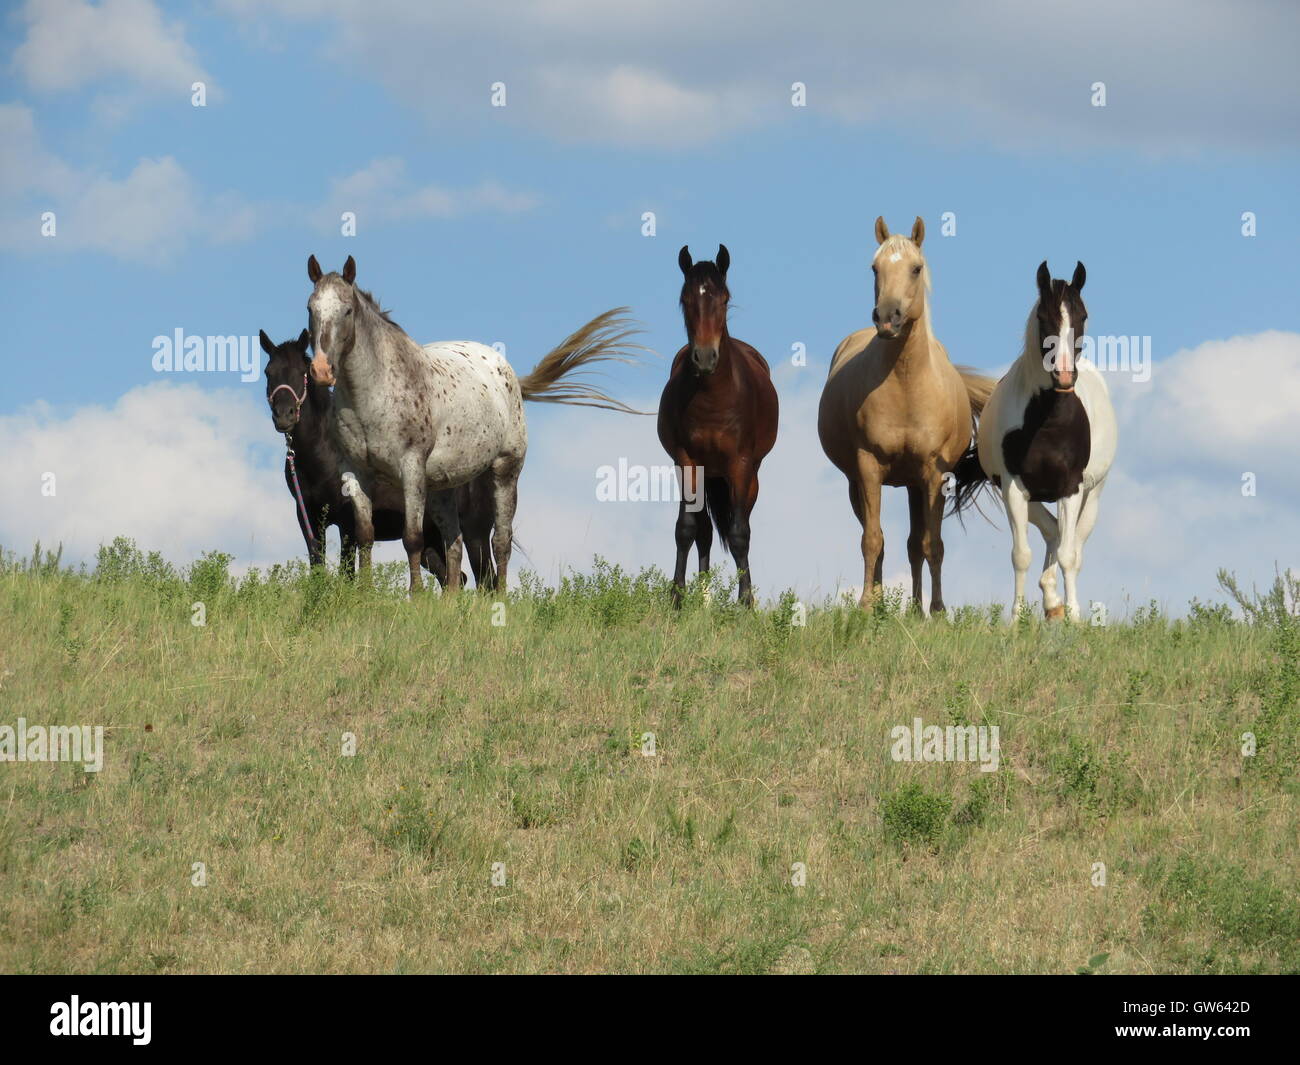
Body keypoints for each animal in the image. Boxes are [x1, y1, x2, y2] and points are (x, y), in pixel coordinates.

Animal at [260, 329, 497, 587]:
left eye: (303, 371)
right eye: (269, 372)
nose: (284, 416)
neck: (324, 455)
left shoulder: (347, 519)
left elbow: (347, 572)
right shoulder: (309, 518)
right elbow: (317, 564)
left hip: (475, 534)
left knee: (487, 580)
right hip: (433, 541)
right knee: (454, 578)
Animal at [305, 255, 645, 594]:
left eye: (347, 310)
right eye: (311, 308)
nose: (321, 370)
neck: (373, 393)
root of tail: (507, 372)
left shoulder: (410, 469)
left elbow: (412, 538)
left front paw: (416, 596)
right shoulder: (356, 472)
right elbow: (365, 535)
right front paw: (365, 593)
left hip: (505, 473)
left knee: (500, 542)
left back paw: (501, 598)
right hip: (443, 487)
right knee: (454, 544)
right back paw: (450, 600)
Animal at [658, 245, 779, 607]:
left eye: (724, 299)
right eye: (685, 299)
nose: (705, 357)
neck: (713, 397)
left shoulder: (739, 464)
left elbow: (739, 533)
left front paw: (746, 602)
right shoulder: (686, 461)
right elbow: (686, 529)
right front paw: (677, 599)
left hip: (747, 476)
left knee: (740, 524)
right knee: (704, 531)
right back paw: (705, 599)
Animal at [817, 216, 995, 615]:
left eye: (916, 268)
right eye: (875, 268)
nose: (887, 318)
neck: (906, 385)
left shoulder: (933, 474)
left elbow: (932, 545)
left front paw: (938, 611)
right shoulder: (868, 468)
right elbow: (872, 539)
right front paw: (867, 607)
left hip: (915, 484)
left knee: (916, 544)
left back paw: (916, 609)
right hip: (859, 484)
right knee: (882, 540)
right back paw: (885, 603)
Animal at [961, 261, 1117, 621]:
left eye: (1082, 315)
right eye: (1044, 317)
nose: (1064, 376)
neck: (1049, 421)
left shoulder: (1070, 488)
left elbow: (1069, 554)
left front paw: (1074, 615)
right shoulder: (1014, 488)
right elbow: (1022, 554)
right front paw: (1017, 618)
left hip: (1092, 496)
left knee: (1071, 542)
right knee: (1051, 530)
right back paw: (1050, 599)